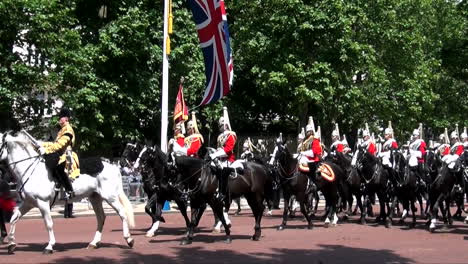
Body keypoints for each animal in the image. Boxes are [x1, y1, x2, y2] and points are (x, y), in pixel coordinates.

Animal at [0, 132, 135, 254]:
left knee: (122, 213)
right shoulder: (29, 203)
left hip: (110, 197)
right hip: (95, 198)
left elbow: (48, 224)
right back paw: (93, 243)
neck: (29, 171)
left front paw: (49, 246)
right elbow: (14, 218)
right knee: (101, 217)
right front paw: (11, 244)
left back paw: (129, 239)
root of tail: (113, 166)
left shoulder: (43, 203)